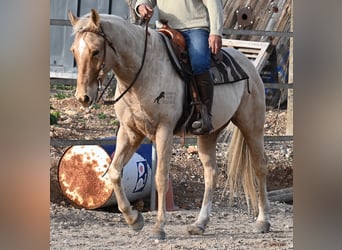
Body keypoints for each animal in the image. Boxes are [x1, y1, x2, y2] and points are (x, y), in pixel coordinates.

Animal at [67, 9, 270, 240]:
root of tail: (248, 65)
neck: (144, 70)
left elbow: (161, 178)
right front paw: (134, 219)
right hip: (208, 134)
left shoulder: (164, 131)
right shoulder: (130, 132)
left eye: (95, 51)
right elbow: (114, 172)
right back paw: (199, 223)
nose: (83, 97)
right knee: (211, 173)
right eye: (74, 51)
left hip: (252, 126)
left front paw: (158, 227)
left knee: (259, 167)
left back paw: (262, 221)